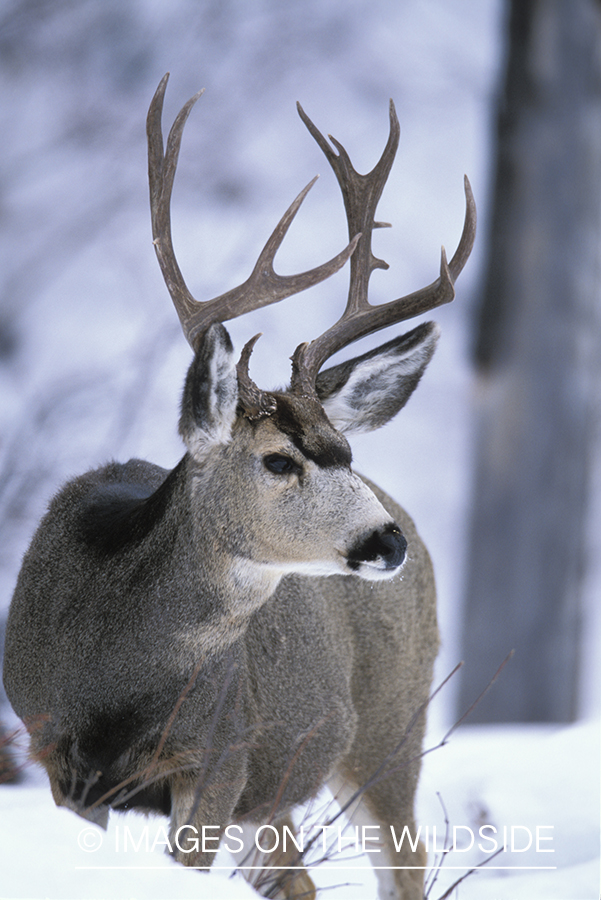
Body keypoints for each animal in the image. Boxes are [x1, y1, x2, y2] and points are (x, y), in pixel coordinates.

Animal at [3, 77, 474, 900]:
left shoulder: (223, 752)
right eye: (279, 461)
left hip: (392, 722)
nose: (386, 540)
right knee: (299, 881)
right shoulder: (55, 754)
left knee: (406, 861)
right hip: (285, 784)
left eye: (344, 451)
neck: (113, 679)